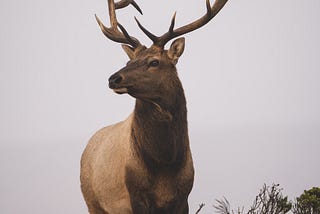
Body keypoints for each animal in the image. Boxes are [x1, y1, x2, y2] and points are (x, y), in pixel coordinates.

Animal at [81, 0, 229, 214]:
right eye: (129, 60)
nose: (113, 78)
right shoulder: (135, 195)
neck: (165, 163)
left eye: (154, 62)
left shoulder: (184, 197)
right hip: (92, 201)